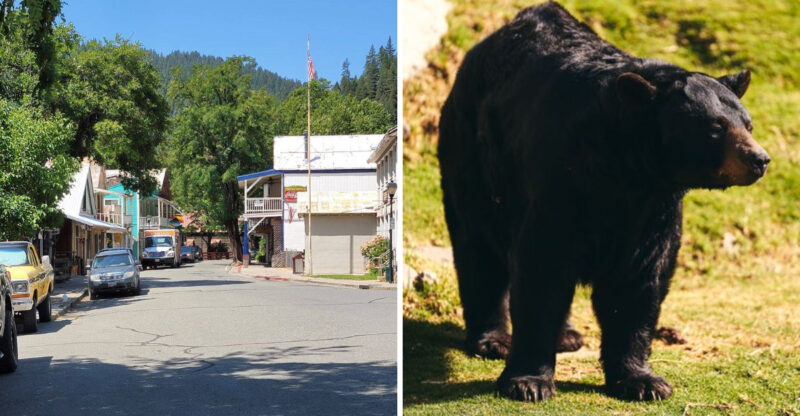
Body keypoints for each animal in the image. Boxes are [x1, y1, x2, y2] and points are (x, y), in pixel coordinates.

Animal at [438, 1, 769, 403]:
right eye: (716, 127)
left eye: (747, 124)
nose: (759, 159)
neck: (628, 171)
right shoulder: (565, 180)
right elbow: (543, 265)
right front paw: (528, 381)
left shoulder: (652, 211)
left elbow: (638, 282)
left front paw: (642, 381)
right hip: (475, 158)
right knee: (479, 246)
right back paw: (493, 339)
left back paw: (567, 335)